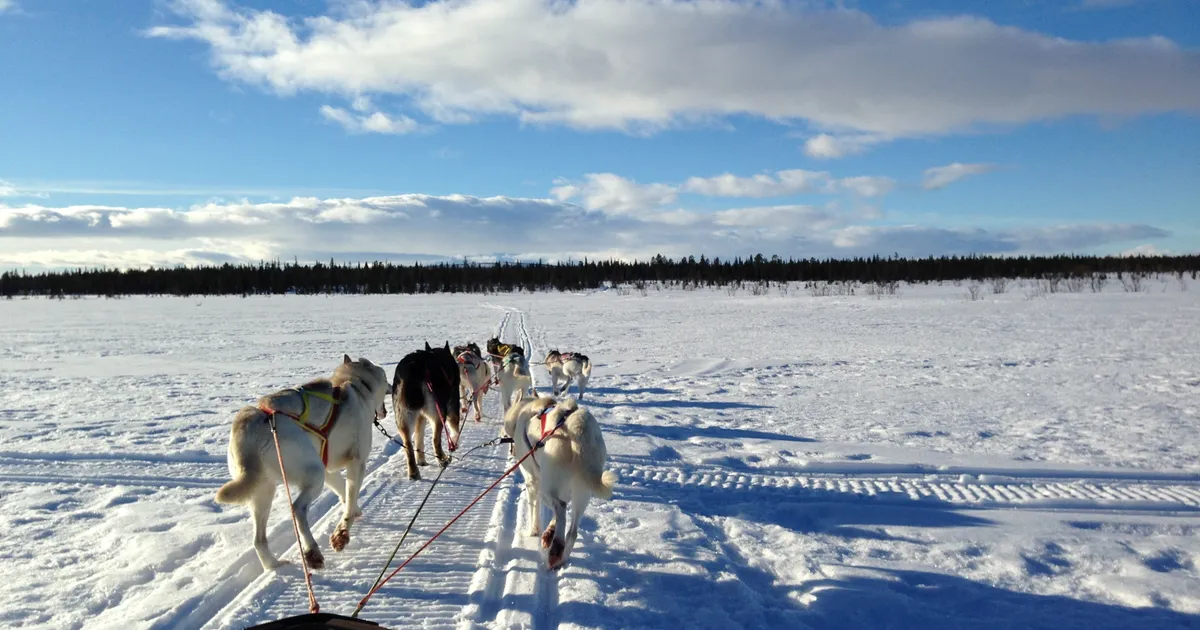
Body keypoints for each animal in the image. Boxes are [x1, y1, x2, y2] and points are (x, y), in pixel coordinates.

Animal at [211, 355, 388, 571]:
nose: (392, 386)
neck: (354, 383)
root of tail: (252, 423)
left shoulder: (328, 469)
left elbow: (343, 492)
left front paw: (354, 511)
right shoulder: (357, 462)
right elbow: (349, 497)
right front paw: (343, 533)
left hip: (264, 492)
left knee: (259, 540)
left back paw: (274, 565)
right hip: (314, 475)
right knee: (297, 509)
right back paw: (312, 552)